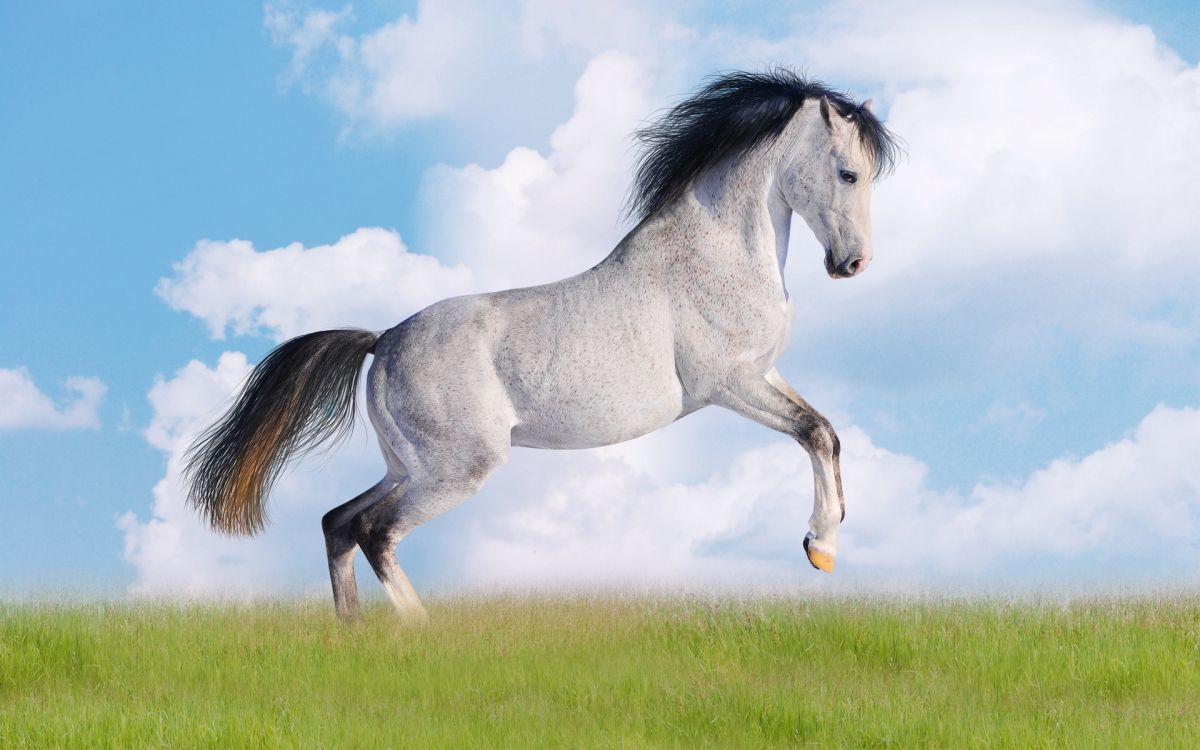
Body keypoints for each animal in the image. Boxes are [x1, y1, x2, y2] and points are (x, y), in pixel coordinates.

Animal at [184, 70, 902, 619]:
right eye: (847, 174)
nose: (853, 264)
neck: (715, 255)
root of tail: (382, 341)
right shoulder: (729, 384)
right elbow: (813, 432)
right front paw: (820, 546)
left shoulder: (763, 375)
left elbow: (827, 432)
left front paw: (825, 546)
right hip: (455, 469)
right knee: (373, 531)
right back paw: (419, 634)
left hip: (410, 465)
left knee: (338, 521)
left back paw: (353, 633)